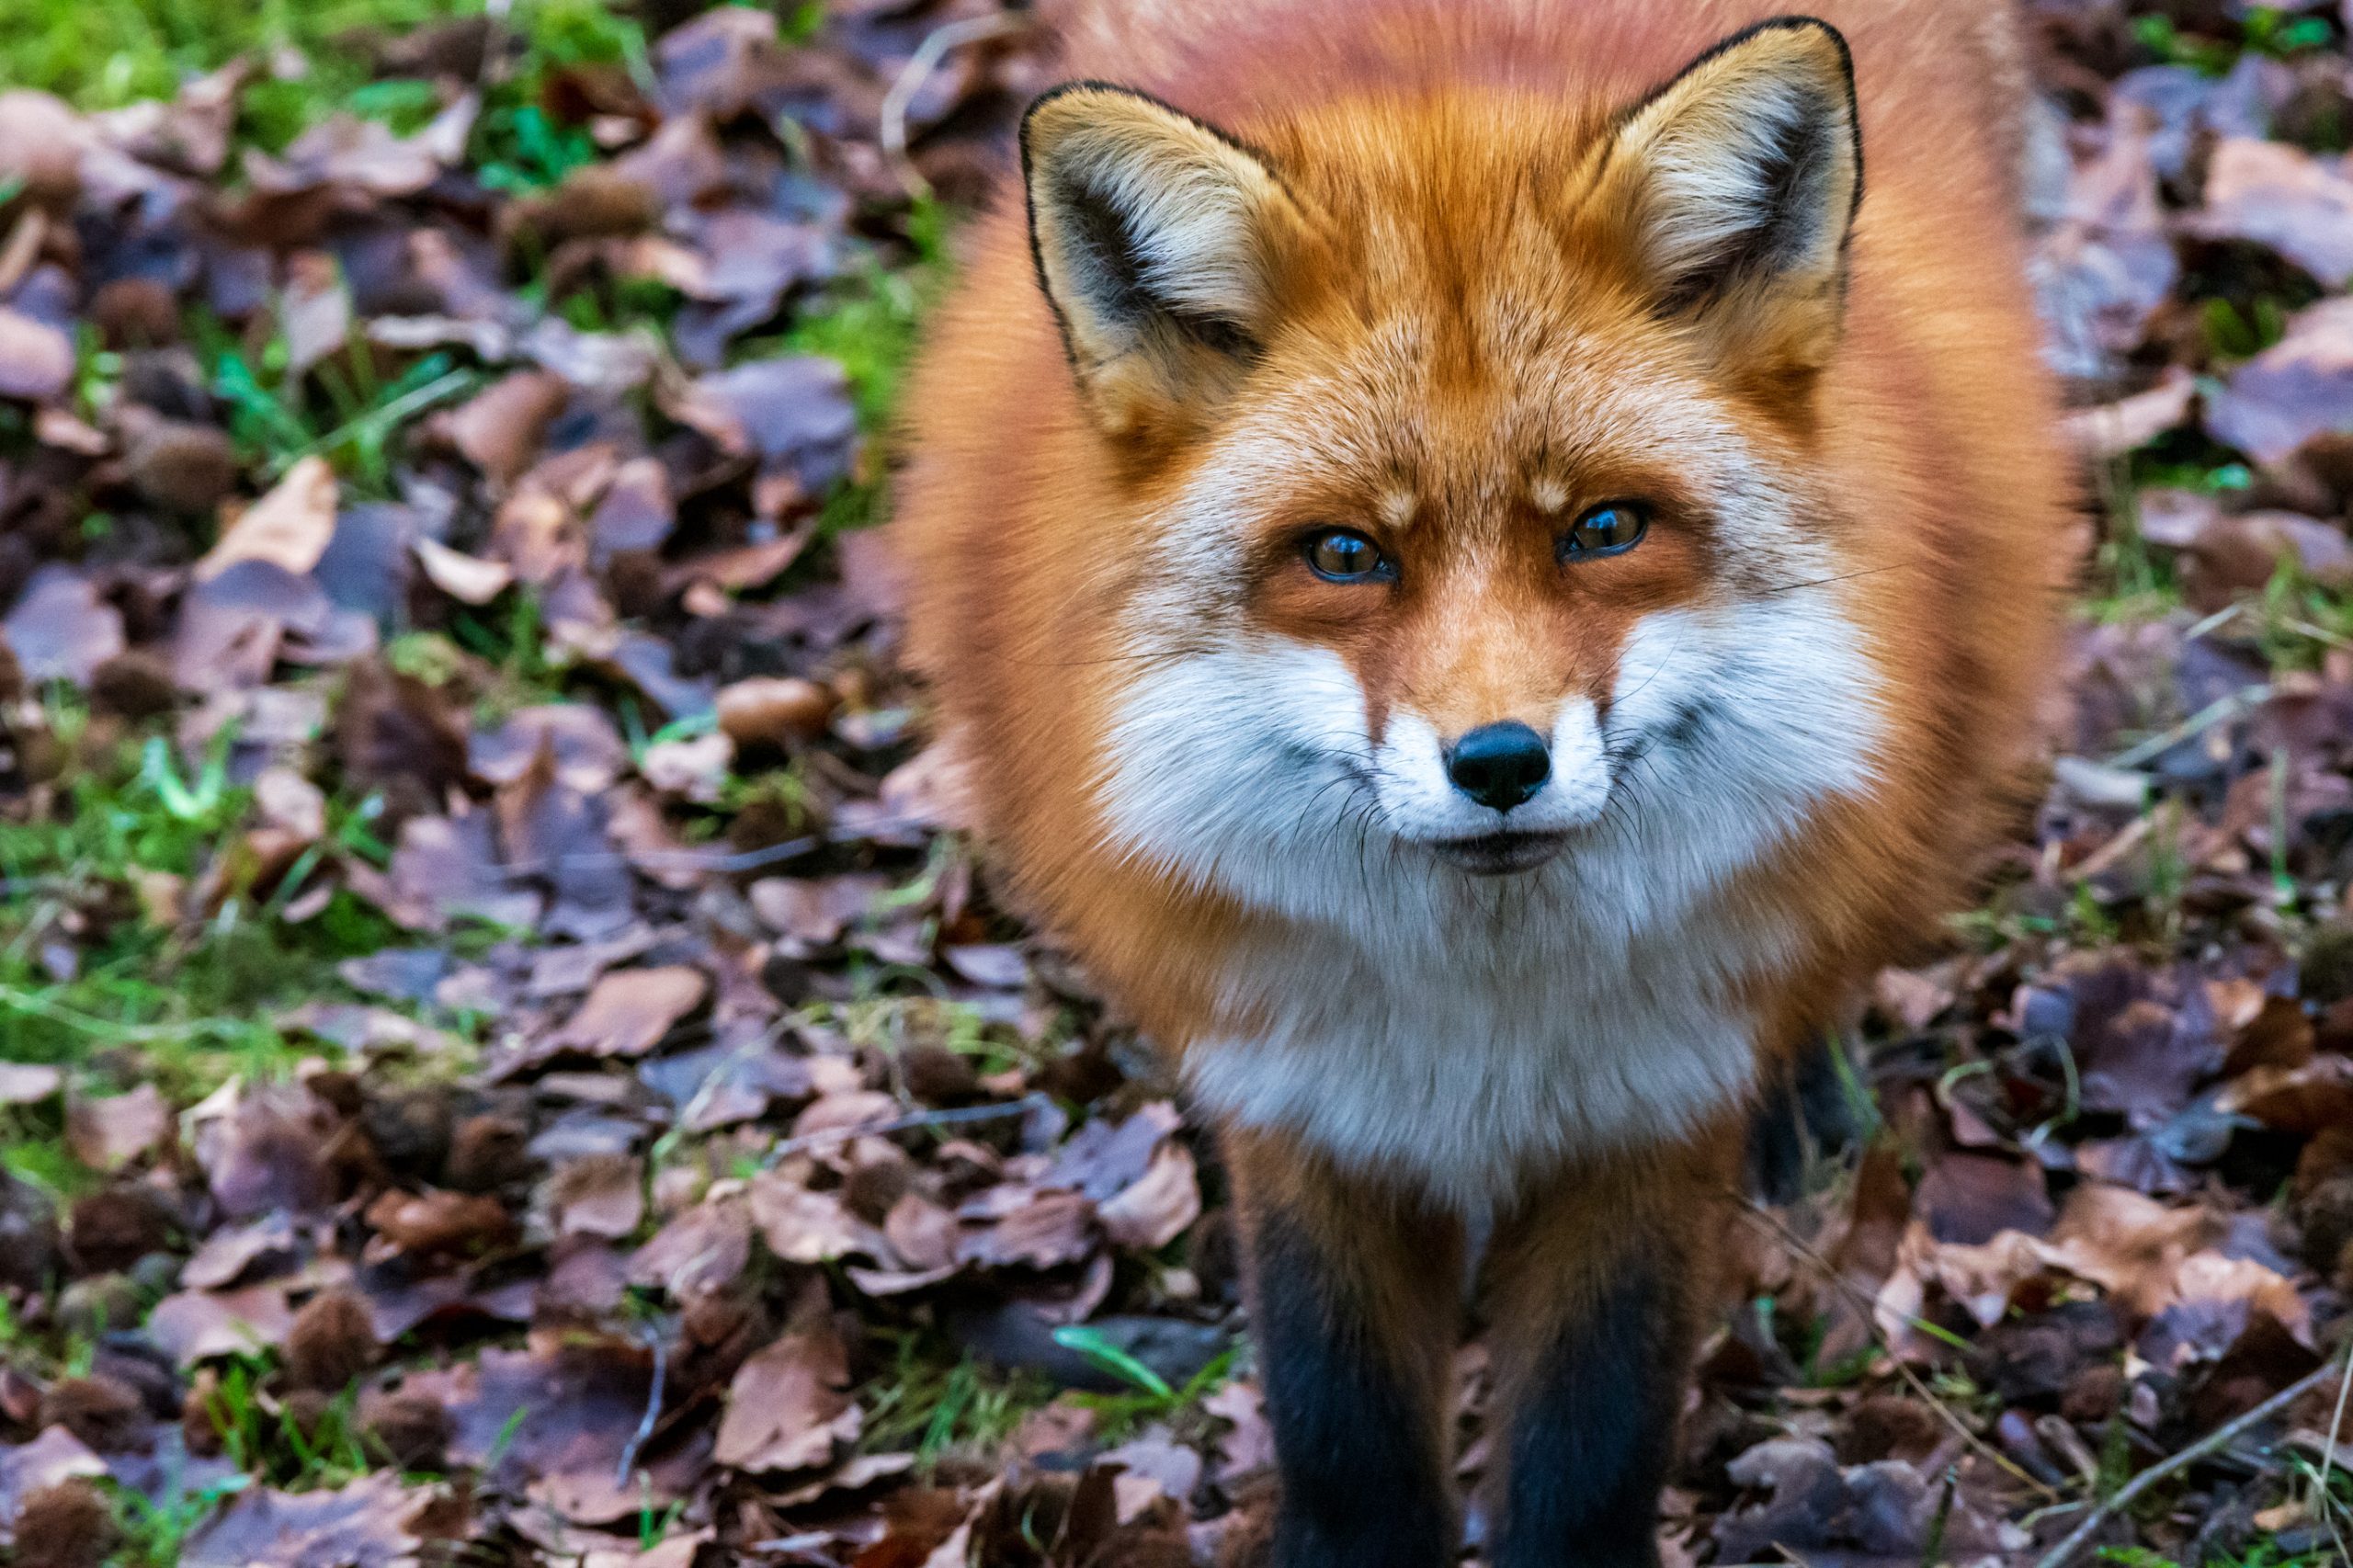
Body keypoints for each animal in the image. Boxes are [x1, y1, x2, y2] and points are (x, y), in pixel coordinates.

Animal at [889, 6, 2070, 1553]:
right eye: (1345, 555)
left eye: (1605, 529)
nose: (1500, 762)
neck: (1485, 1023)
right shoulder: (1301, 1107)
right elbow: (1345, 1432)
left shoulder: (1650, 1116)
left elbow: (1589, 1455)